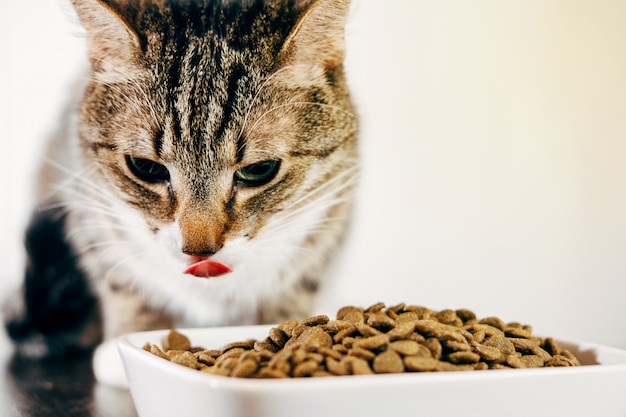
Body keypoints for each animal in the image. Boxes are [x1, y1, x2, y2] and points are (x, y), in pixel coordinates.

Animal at [3, 0, 356, 362]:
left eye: (260, 169)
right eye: (146, 168)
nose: (198, 251)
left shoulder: (328, 224)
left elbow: (289, 296)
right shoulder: (89, 210)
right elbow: (124, 283)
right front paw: (124, 344)